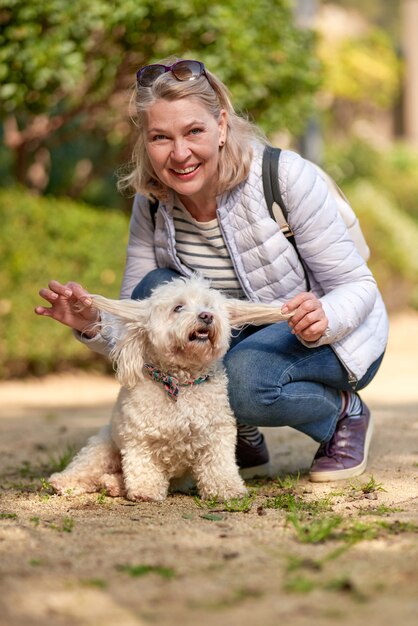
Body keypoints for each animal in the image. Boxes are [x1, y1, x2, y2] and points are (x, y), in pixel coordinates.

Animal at [49, 278, 290, 502]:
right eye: (178, 308)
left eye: (209, 305)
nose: (206, 316)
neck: (180, 382)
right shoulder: (139, 436)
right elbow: (142, 464)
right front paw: (145, 490)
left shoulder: (217, 433)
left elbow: (219, 465)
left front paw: (227, 489)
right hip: (103, 447)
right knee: (86, 469)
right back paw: (65, 482)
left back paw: (113, 484)